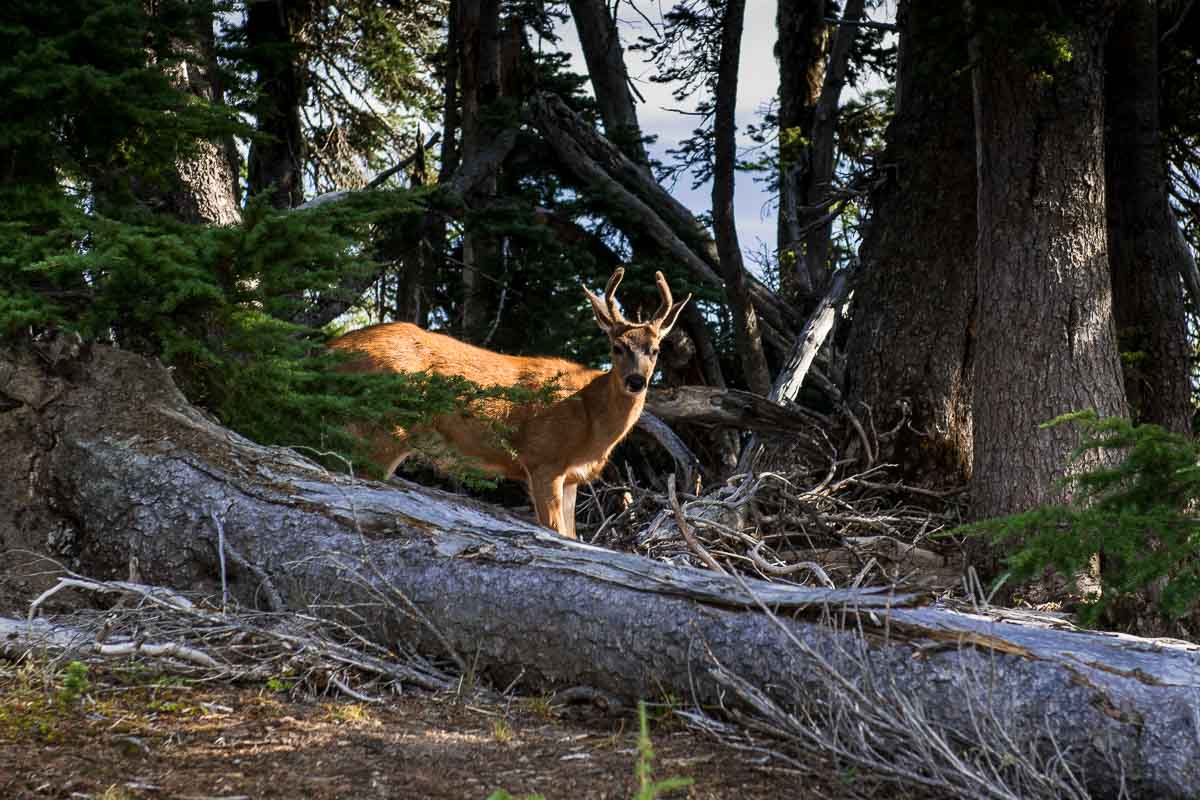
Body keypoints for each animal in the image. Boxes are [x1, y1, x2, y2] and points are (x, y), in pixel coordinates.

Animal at [328, 272, 691, 542]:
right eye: (617, 347)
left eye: (656, 350)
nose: (635, 381)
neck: (591, 418)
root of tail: (330, 349)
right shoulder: (543, 460)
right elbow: (555, 531)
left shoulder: (572, 477)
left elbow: (573, 536)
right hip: (384, 426)